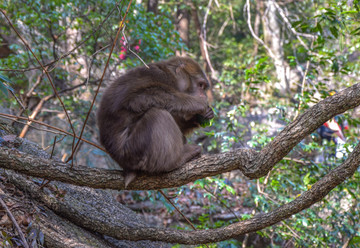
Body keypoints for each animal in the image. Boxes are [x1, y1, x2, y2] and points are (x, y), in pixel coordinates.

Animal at [96, 56, 214, 187]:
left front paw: (203, 116)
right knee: (157, 114)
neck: (172, 79)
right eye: (200, 85)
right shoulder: (157, 76)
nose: (204, 95)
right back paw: (176, 160)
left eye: (204, 87)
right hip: (133, 151)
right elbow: (137, 98)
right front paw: (197, 104)